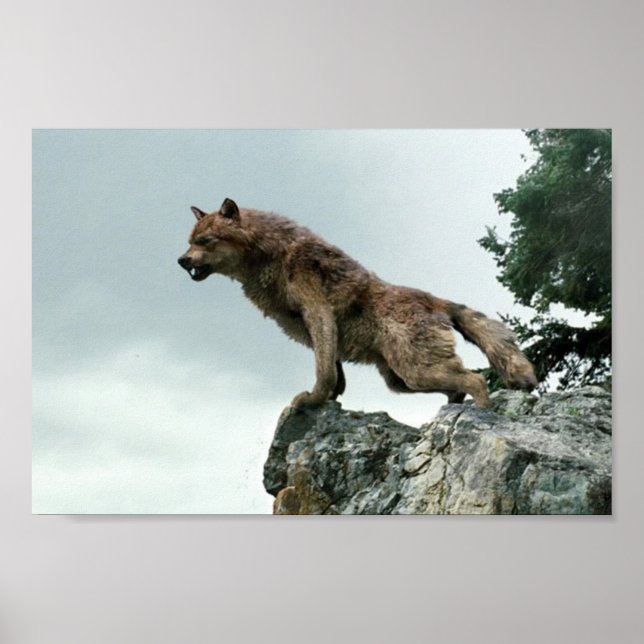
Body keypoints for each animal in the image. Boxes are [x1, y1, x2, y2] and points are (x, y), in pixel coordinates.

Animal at [178, 198, 537, 408]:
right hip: (400, 381)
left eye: (205, 241)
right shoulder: (317, 329)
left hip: (415, 372)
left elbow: (323, 371)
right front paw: (327, 400)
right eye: (190, 242)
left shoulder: (318, 312)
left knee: (476, 380)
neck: (271, 255)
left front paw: (311, 400)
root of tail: (434, 299)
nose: (181, 260)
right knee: (458, 388)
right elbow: (334, 372)